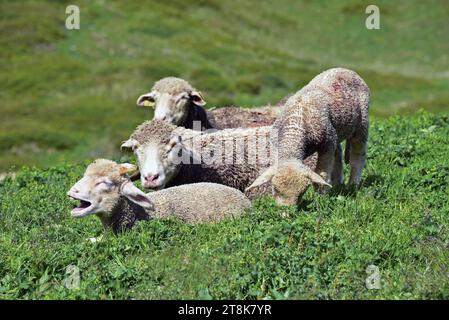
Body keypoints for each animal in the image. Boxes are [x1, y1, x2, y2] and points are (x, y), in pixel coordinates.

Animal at [247, 68, 370, 198]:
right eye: (275, 190)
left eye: (302, 193)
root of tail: (345, 69)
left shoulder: (327, 144)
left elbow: (321, 173)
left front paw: (321, 197)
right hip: (336, 131)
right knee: (338, 155)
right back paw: (336, 184)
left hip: (362, 123)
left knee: (358, 155)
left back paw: (353, 185)